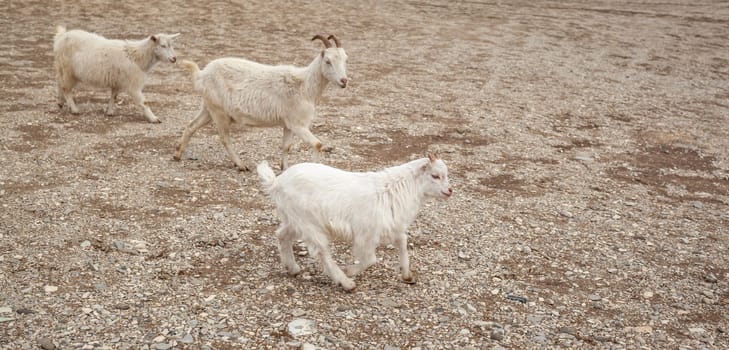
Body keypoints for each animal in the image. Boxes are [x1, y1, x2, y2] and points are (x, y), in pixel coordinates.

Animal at [175, 33, 348, 170]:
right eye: (327, 61)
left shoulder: (289, 124)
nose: (344, 81)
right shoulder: (298, 124)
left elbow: (286, 147)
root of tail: (202, 74)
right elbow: (318, 144)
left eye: (345, 60)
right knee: (224, 138)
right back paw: (241, 165)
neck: (304, 85)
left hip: (209, 107)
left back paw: (177, 154)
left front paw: (285, 169)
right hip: (219, 112)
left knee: (191, 126)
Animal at [255, 154, 450, 292]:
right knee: (321, 251)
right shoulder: (366, 233)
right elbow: (370, 259)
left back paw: (293, 268)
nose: (450, 191)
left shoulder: (394, 227)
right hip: (309, 223)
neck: (393, 188)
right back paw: (346, 282)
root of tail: (276, 182)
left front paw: (407, 275)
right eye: (435, 176)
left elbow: (402, 243)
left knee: (282, 235)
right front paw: (350, 270)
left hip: (295, 220)